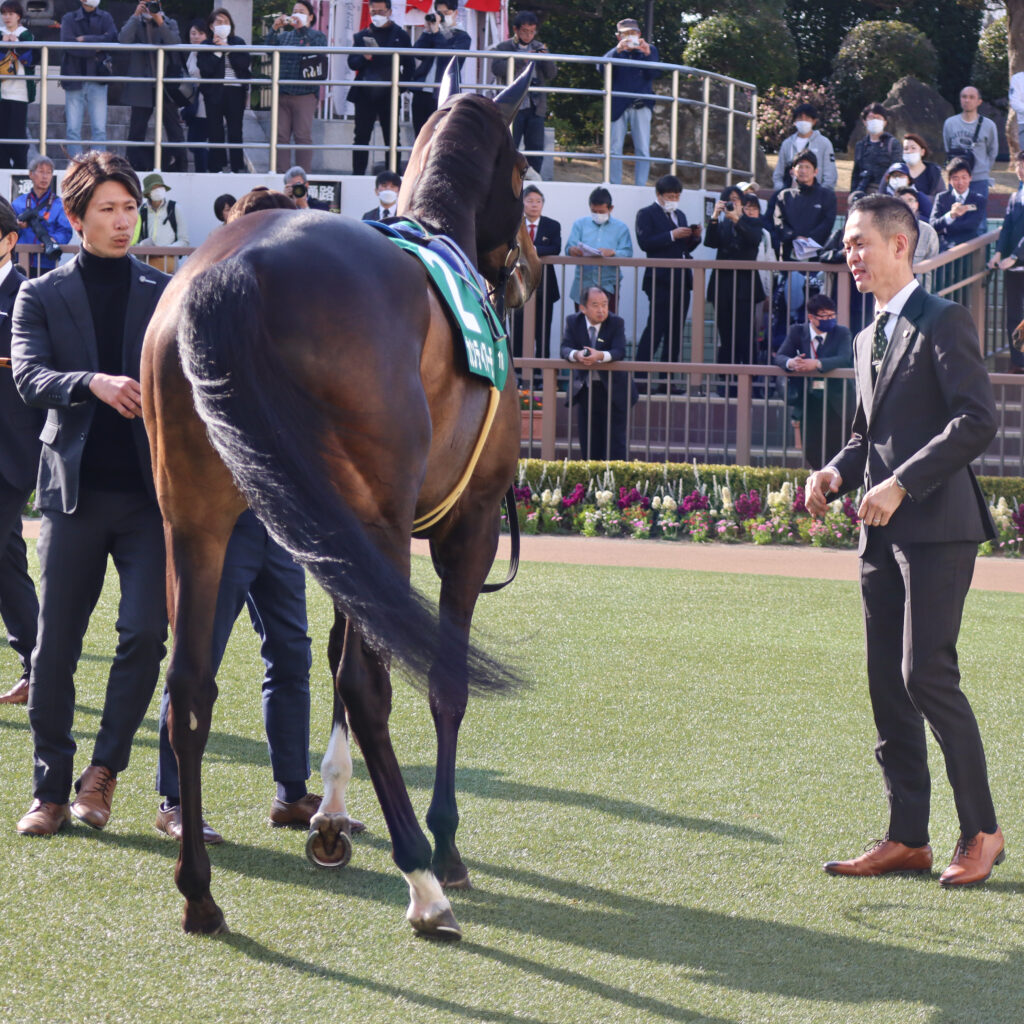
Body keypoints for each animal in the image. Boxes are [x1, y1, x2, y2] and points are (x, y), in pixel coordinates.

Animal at [140, 64, 541, 940]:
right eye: (525, 173)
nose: (529, 263)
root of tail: (230, 271)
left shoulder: (334, 540)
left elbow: (330, 652)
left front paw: (328, 810)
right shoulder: (466, 528)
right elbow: (437, 682)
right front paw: (444, 841)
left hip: (199, 518)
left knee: (188, 684)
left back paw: (199, 891)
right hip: (379, 522)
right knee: (369, 687)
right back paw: (423, 880)